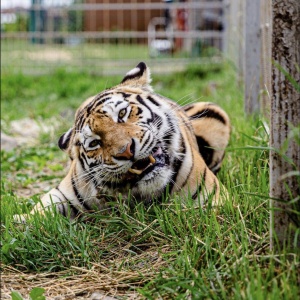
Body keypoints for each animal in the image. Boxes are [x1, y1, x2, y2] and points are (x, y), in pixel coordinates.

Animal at [13, 62, 230, 221]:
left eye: (122, 113)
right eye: (94, 143)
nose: (126, 151)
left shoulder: (213, 199)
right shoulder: (63, 194)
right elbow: (39, 211)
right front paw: (19, 223)